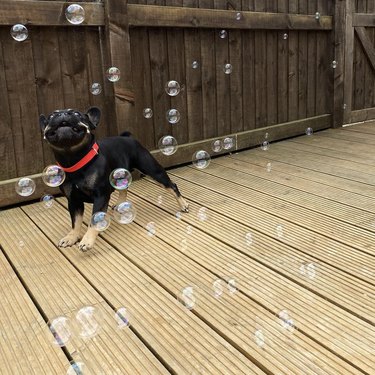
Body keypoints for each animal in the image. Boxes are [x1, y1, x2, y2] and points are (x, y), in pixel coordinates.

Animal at [39, 107, 189, 251]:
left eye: (77, 114)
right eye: (51, 116)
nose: (63, 114)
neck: (74, 159)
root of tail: (128, 138)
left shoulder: (100, 196)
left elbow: (94, 220)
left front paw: (87, 241)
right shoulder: (73, 200)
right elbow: (75, 222)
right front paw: (71, 237)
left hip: (152, 169)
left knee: (171, 185)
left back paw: (183, 205)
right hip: (120, 174)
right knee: (124, 188)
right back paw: (121, 204)